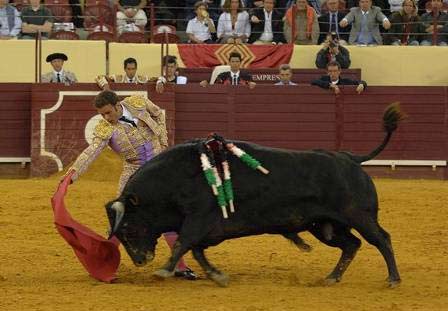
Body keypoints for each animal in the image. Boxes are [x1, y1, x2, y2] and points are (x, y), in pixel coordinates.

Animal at [107, 103, 404, 288]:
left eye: (129, 229)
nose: (140, 260)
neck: (174, 179)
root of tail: (351, 158)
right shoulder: (206, 228)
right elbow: (197, 250)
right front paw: (217, 276)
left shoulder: (198, 219)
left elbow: (183, 243)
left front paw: (164, 271)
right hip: (324, 226)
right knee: (351, 245)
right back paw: (331, 278)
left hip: (359, 215)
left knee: (381, 239)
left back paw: (393, 279)